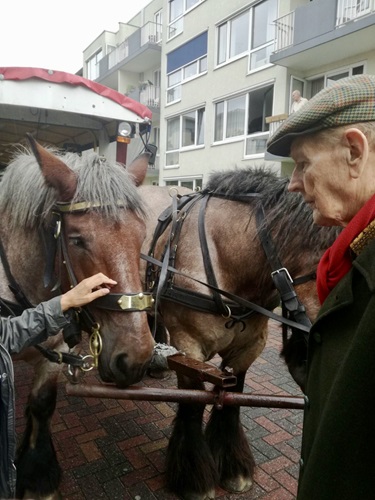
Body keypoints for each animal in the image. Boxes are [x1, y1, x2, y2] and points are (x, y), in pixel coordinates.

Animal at [0, 137, 156, 500]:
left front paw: (38, 474)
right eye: (76, 240)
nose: (136, 358)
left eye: (141, 235)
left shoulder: (55, 352)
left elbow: (42, 405)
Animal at [139, 169, 340, 500]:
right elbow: (193, 402)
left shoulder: (249, 346)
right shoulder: (188, 345)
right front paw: (194, 479)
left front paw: (233, 468)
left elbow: (235, 397)